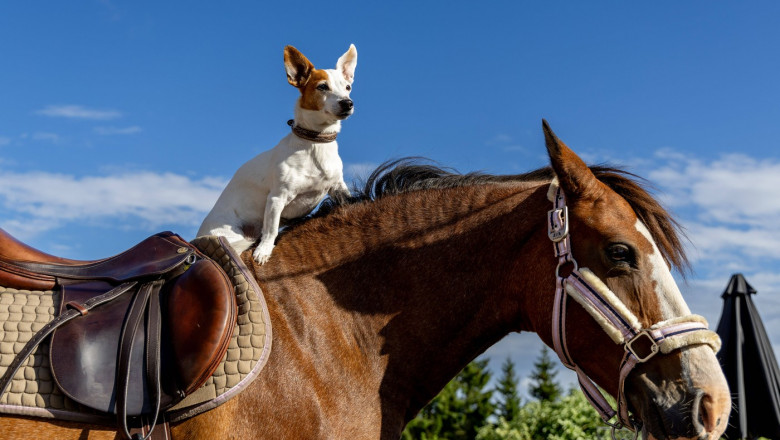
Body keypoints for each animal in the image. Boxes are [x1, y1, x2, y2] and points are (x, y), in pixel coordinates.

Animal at [195, 45, 356, 262]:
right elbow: (271, 230)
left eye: (347, 87)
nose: (347, 103)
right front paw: (263, 251)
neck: (315, 143)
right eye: (322, 87)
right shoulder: (276, 198)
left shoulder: (337, 187)